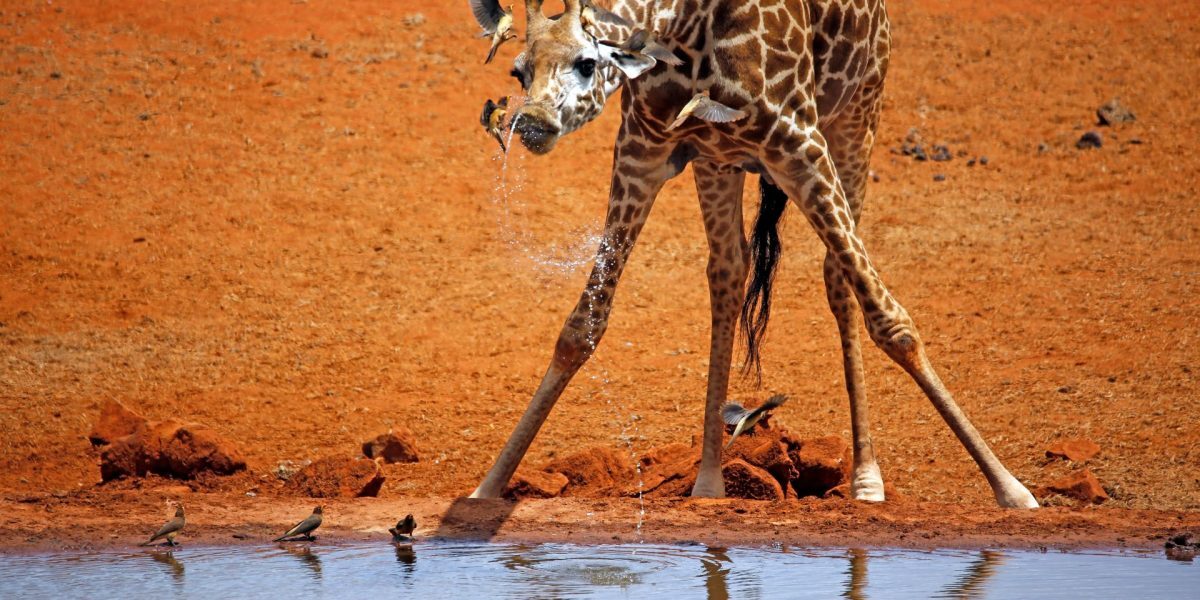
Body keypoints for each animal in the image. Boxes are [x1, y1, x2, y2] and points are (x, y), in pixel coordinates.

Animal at [466, 0, 1039, 508]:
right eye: (518, 71)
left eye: (587, 63)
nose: (532, 124)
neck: (683, 29)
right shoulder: (642, 149)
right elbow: (581, 327)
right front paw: (487, 487)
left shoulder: (802, 144)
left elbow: (892, 321)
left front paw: (1011, 489)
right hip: (718, 162)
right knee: (729, 271)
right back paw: (710, 480)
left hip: (858, 114)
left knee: (838, 274)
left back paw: (866, 478)